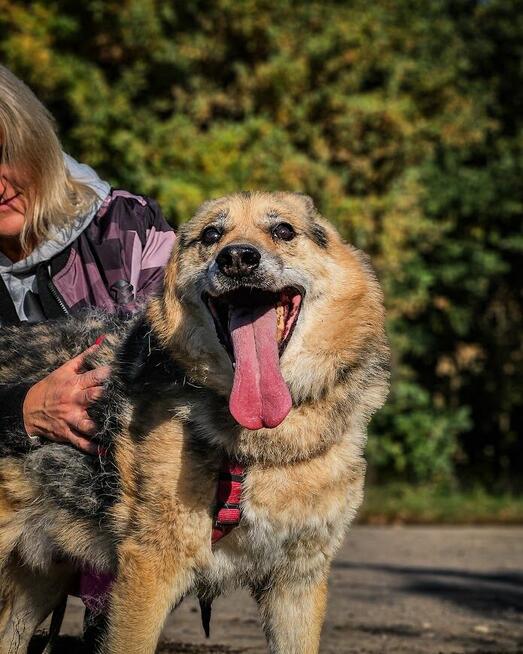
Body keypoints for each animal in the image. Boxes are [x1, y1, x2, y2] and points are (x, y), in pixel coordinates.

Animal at [0, 192, 388, 652]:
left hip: (36, 585)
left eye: (283, 230)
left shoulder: (297, 582)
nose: (237, 258)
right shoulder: (149, 570)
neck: (263, 445)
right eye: (212, 235)